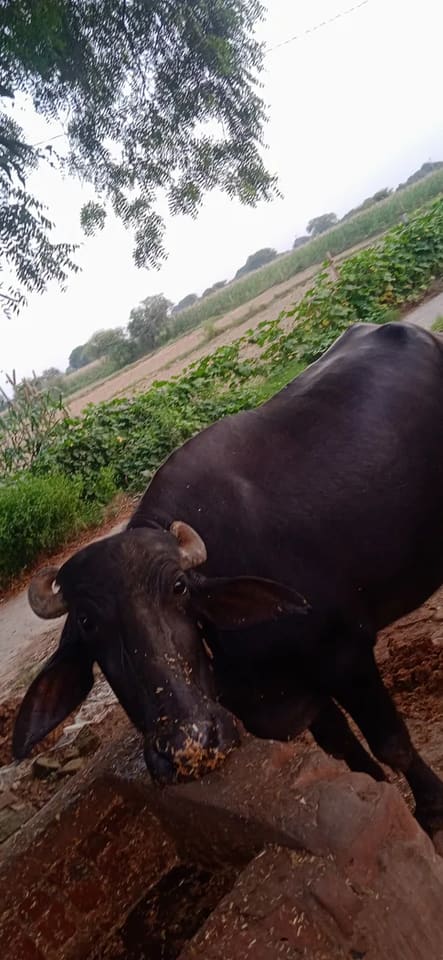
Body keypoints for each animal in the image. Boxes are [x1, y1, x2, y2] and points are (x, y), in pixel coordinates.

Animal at [13, 322, 443, 841]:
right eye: (88, 622)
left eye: (179, 589)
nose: (190, 743)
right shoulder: (292, 699)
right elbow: (347, 754)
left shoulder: (347, 655)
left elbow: (391, 742)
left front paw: (430, 811)